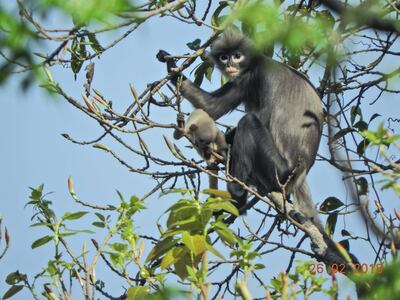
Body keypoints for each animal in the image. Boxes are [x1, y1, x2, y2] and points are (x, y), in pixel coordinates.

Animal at [158, 29, 324, 227]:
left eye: (237, 56)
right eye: (224, 57)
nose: (230, 64)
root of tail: (299, 173)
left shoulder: (255, 77)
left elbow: (232, 111)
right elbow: (212, 106)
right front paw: (169, 64)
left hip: (279, 171)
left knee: (248, 122)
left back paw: (236, 195)